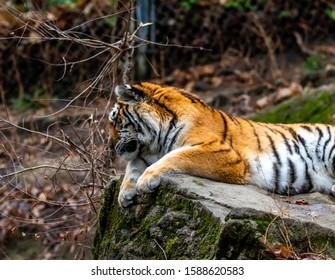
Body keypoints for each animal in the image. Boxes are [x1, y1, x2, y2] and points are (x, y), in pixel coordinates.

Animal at [107, 82, 335, 207]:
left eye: (115, 120)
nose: (110, 145)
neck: (155, 140)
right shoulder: (143, 153)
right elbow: (132, 166)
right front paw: (124, 194)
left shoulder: (224, 153)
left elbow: (176, 156)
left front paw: (146, 180)